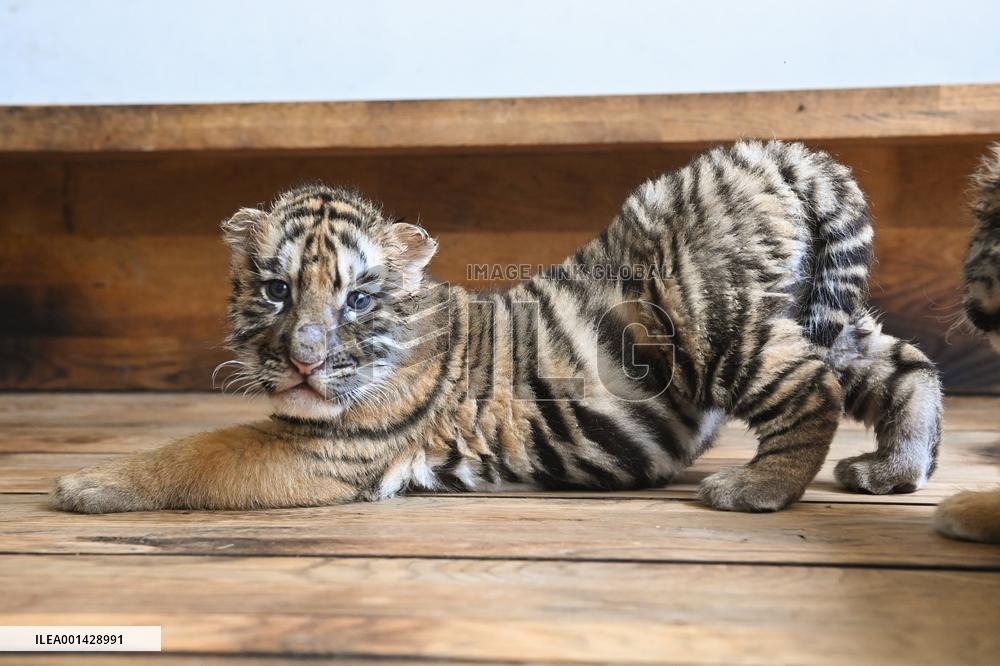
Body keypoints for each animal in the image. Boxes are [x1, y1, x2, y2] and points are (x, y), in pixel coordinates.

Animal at [53, 140, 943, 514]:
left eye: (356, 300)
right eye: (276, 292)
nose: (305, 362)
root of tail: (766, 152)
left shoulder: (327, 447)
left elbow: (199, 454)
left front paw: (88, 484)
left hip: (720, 322)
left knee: (811, 391)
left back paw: (756, 490)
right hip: (820, 314)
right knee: (907, 366)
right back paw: (893, 470)